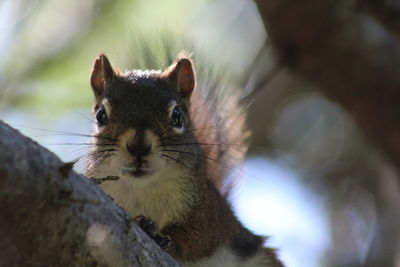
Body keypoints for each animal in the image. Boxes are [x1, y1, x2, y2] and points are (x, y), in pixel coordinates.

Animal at [85, 51, 282, 266]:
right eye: (101, 115)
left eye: (177, 116)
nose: (138, 147)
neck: (139, 189)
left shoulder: (205, 211)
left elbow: (195, 237)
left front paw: (157, 232)